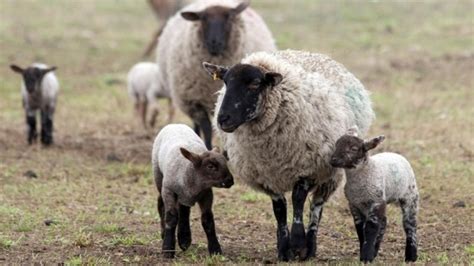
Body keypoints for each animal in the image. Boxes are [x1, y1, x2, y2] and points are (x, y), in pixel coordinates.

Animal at [152, 124, 233, 258]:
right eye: (210, 166)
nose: (230, 181)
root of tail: (175, 124)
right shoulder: (169, 190)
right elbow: (171, 217)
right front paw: (167, 249)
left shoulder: (206, 193)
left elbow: (208, 220)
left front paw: (215, 250)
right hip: (158, 176)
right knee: (161, 203)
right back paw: (165, 233)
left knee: (184, 210)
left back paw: (184, 239)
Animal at [156, 0, 274, 150]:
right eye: (203, 19)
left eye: (229, 17)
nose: (215, 43)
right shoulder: (196, 102)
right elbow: (206, 128)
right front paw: (207, 147)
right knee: (197, 125)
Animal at [202, 49, 376, 260]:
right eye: (226, 82)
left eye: (255, 84)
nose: (222, 119)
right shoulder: (266, 176)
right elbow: (280, 209)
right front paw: (284, 249)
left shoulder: (308, 169)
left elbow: (298, 202)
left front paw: (299, 245)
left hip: (330, 175)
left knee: (316, 207)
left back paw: (311, 247)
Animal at [330, 128, 418, 262]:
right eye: (336, 144)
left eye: (354, 148)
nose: (333, 160)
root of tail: (396, 154)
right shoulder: (354, 205)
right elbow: (360, 229)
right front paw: (365, 253)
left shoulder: (375, 201)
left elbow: (371, 228)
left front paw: (366, 257)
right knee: (384, 222)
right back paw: (376, 250)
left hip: (410, 195)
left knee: (409, 223)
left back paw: (411, 256)